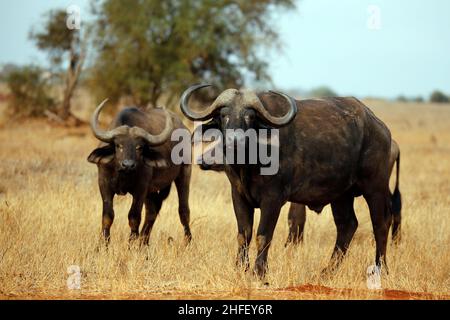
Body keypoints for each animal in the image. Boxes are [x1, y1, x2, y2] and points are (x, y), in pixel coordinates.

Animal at [88, 101, 193, 244]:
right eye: (118, 145)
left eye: (139, 147)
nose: (128, 165)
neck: (123, 175)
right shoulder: (104, 185)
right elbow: (107, 216)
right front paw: (103, 244)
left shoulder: (141, 189)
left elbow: (134, 217)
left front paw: (131, 243)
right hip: (152, 191)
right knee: (152, 212)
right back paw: (143, 242)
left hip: (184, 173)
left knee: (183, 210)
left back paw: (187, 242)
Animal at [179, 85, 398, 278]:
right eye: (224, 115)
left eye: (250, 116)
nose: (234, 140)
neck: (248, 164)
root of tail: (381, 129)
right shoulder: (238, 195)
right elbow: (244, 235)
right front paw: (240, 268)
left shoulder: (273, 199)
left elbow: (263, 235)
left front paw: (259, 272)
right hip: (341, 195)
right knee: (347, 225)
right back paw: (327, 272)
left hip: (375, 187)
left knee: (381, 223)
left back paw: (381, 268)